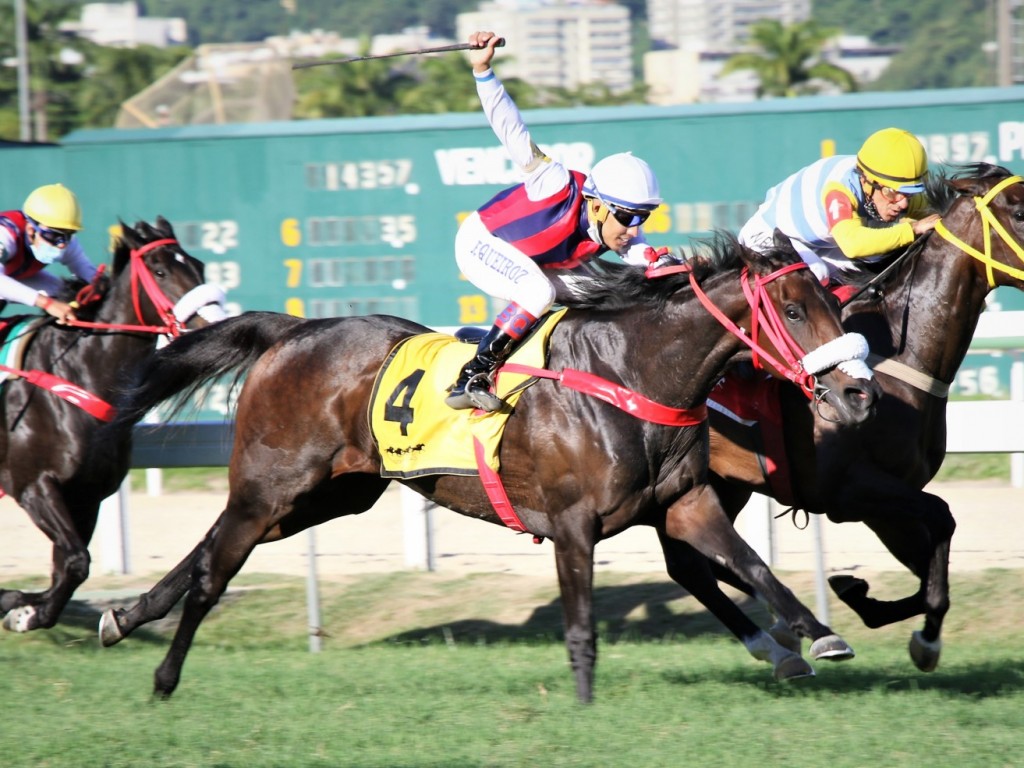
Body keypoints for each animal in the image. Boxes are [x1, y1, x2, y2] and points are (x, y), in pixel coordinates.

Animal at [0, 217, 225, 630]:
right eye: (160, 271)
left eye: (199, 266)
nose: (216, 322)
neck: (79, 376)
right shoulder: (32, 484)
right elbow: (75, 563)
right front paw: (20, 607)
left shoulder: (86, 495)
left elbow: (69, 568)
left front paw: (27, 610)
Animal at [99, 234, 876, 704]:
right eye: (794, 308)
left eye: (833, 302)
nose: (859, 394)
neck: (630, 373)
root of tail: (292, 330)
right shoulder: (572, 523)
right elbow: (581, 623)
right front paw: (584, 704)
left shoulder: (686, 504)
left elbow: (755, 568)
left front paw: (818, 633)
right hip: (272, 483)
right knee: (215, 570)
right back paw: (163, 676)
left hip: (328, 495)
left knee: (210, 549)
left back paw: (124, 617)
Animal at [700, 162, 1024, 671]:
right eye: (1020, 212)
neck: (898, 357)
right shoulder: (849, 490)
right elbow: (944, 518)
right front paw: (920, 637)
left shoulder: (889, 499)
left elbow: (927, 566)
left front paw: (867, 599)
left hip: (723, 484)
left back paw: (782, 640)